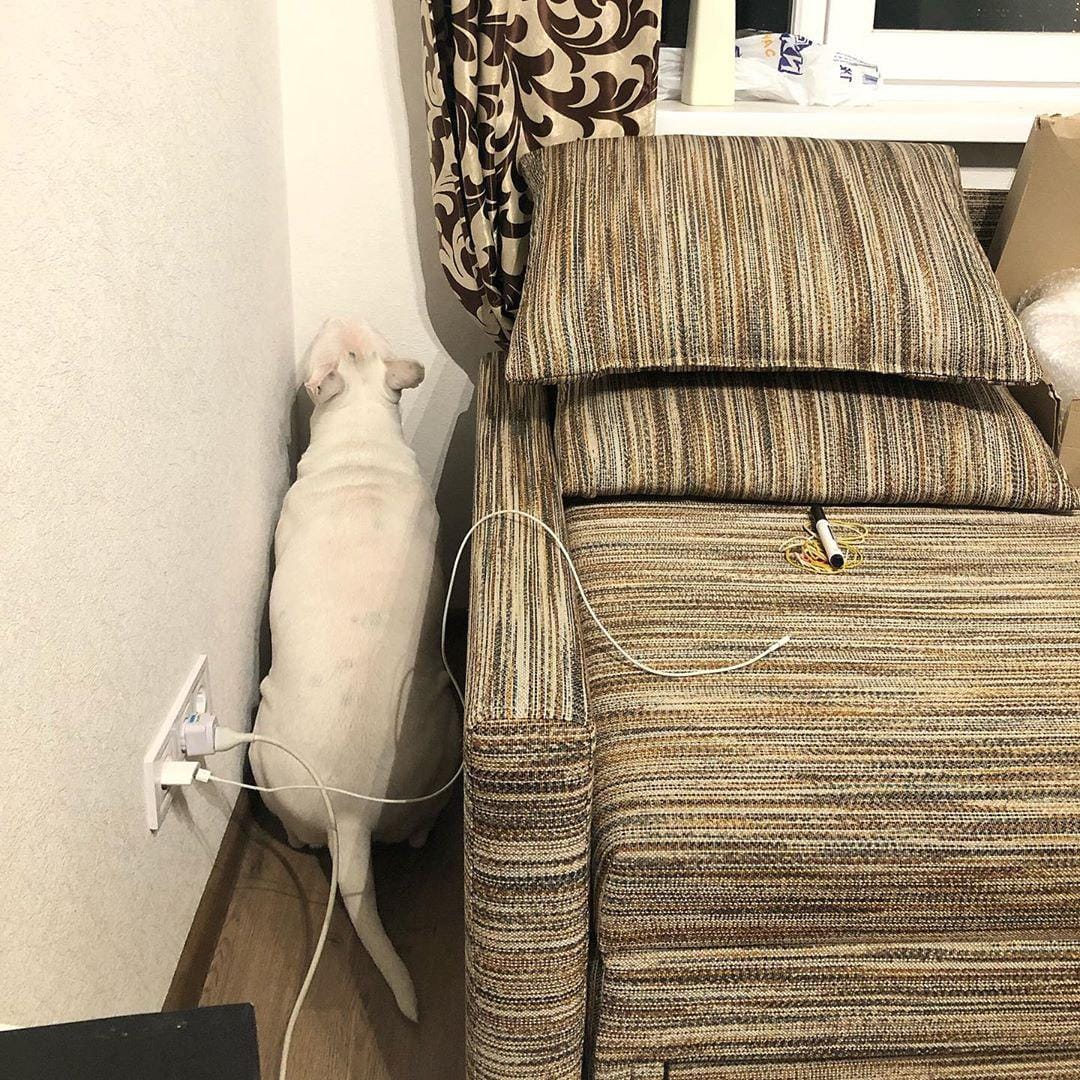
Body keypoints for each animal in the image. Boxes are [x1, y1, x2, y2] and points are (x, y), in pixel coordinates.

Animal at [251, 316, 460, 1021]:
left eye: (328, 341)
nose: (343, 316)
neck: (362, 431)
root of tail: (352, 813)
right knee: (419, 825)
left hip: (262, 750)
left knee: (298, 831)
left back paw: (298, 839)